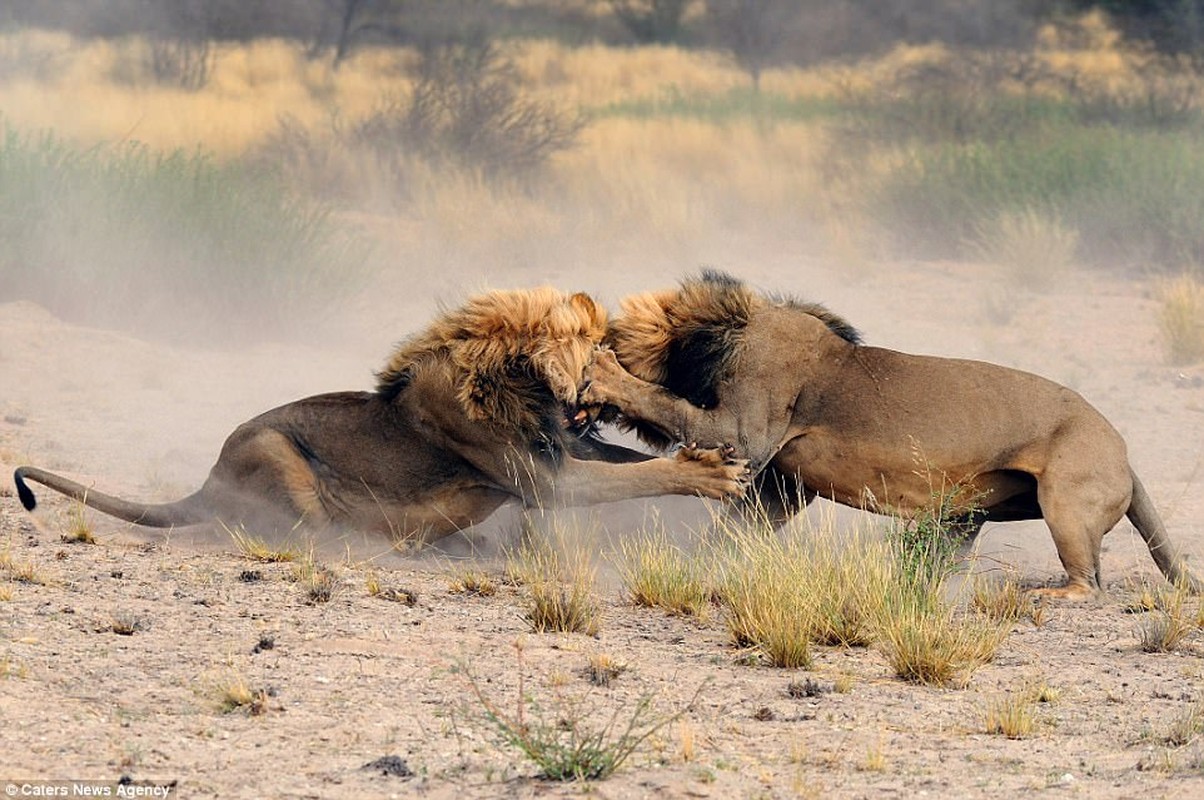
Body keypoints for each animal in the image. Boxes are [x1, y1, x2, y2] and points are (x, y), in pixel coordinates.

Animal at [16, 287, 751, 544]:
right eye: (600, 350)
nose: (609, 390)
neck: (518, 383)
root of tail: (206, 484)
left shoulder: (561, 449)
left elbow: (629, 460)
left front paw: (705, 456)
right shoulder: (544, 481)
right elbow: (637, 474)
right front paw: (713, 475)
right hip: (273, 450)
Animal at [580, 272, 1194, 597]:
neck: (734, 333)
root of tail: (1124, 452)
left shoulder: (742, 432)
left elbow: (663, 402)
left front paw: (604, 372)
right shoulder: (784, 484)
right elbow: (730, 532)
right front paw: (699, 566)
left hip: (1065, 499)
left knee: (1091, 581)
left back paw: (1047, 593)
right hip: (971, 511)